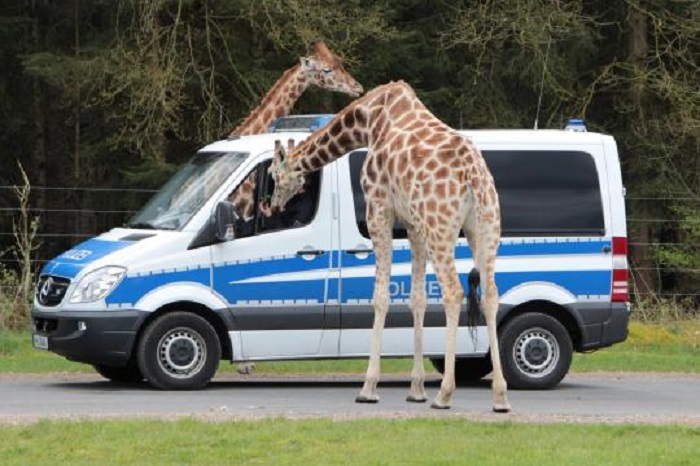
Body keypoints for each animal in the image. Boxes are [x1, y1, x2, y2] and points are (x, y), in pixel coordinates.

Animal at [266, 82, 512, 414]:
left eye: (273, 175)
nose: (273, 206)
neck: (367, 120)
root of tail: (473, 175)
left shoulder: (378, 208)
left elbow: (381, 297)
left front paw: (369, 387)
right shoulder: (413, 225)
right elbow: (417, 300)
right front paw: (416, 389)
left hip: (442, 228)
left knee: (453, 291)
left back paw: (445, 393)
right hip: (485, 228)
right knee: (490, 295)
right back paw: (500, 395)